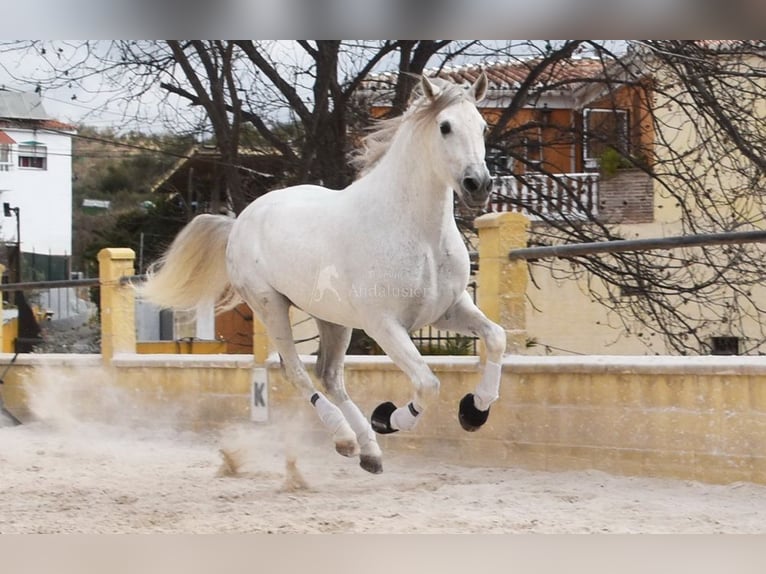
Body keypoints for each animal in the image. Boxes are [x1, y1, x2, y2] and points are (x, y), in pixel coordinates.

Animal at [140, 72, 507, 474]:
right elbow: (428, 384)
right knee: (296, 371)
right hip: (271, 306)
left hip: (331, 318)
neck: (418, 233)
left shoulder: (446, 311)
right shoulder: (385, 325)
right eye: (445, 126)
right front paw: (388, 418)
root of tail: (240, 221)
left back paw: (369, 452)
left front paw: (474, 411)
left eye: (483, 126)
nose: (479, 185)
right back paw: (346, 438)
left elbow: (496, 337)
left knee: (329, 374)